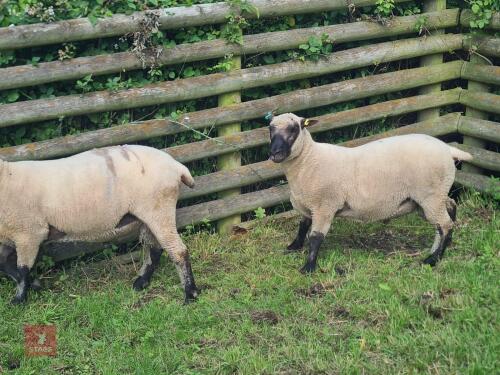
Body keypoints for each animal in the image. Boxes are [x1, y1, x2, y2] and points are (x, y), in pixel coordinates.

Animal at [0, 145, 199, 306]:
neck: (6, 176)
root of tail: (177, 166)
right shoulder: (10, 237)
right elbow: (5, 265)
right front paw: (34, 285)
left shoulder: (29, 233)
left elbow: (22, 269)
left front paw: (19, 300)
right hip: (148, 214)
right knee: (154, 249)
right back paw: (141, 283)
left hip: (159, 209)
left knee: (178, 251)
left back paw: (190, 294)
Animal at [268, 111, 470, 274]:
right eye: (270, 129)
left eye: (294, 128)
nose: (275, 153)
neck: (308, 159)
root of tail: (447, 148)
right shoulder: (308, 205)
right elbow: (302, 226)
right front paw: (293, 246)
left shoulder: (324, 205)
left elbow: (315, 238)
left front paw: (308, 267)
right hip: (432, 196)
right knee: (449, 210)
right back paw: (438, 251)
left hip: (430, 196)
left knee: (445, 225)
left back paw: (432, 260)